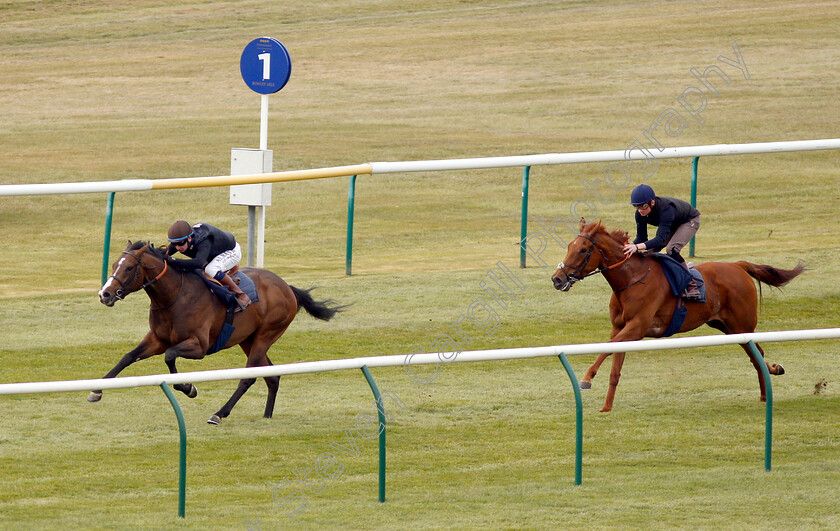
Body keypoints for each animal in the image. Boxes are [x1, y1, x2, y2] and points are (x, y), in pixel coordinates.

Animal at [92, 241, 342, 424]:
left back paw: (219, 414)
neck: (175, 295)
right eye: (113, 264)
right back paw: (267, 415)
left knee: (248, 378)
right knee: (272, 375)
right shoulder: (157, 339)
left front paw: (189, 388)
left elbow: (170, 357)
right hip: (248, 339)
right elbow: (128, 357)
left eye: (129, 268)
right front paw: (97, 390)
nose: (105, 294)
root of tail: (287, 287)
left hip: (266, 334)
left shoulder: (199, 346)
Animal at [548, 222, 804, 414]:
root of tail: (737, 265)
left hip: (742, 325)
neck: (631, 279)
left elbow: (605, 349)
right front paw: (606, 407)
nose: (557, 279)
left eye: (582, 250)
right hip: (728, 327)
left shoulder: (637, 327)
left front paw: (586, 378)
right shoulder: (620, 328)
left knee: (756, 354)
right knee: (756, 354)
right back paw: (768, 385)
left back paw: (767, 388)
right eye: (569, 246)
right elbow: (614, 369)